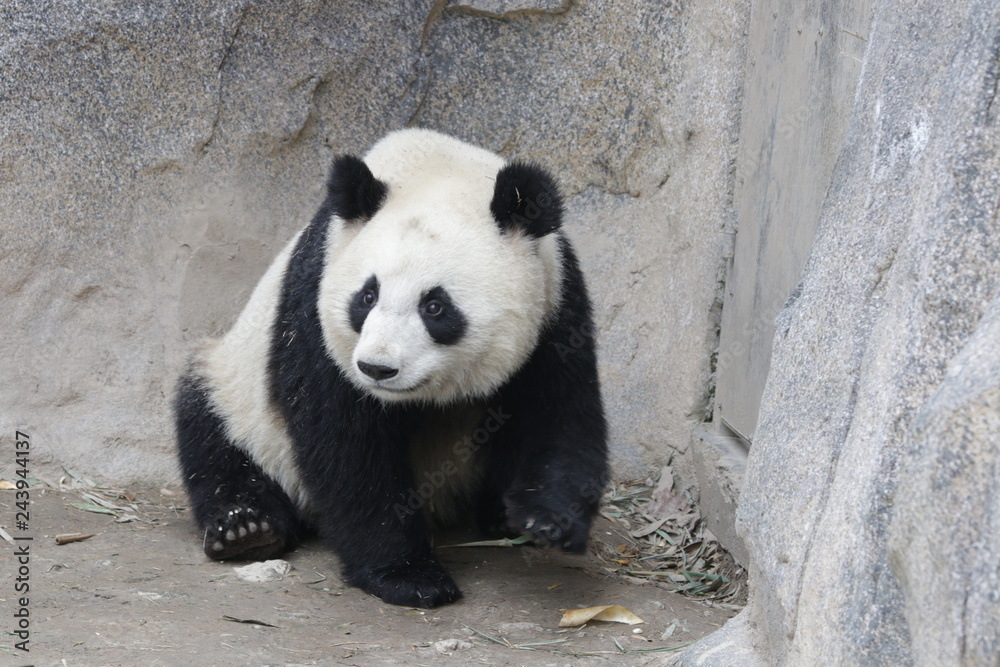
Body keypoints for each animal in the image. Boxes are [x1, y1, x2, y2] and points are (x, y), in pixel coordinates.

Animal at [174, 128, 608, 608]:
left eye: (435, 306)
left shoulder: (556, 300)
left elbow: (559, 410)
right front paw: (407, 574)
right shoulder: (315, 301)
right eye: (366, 297)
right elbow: (344, 442)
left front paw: (549, 520)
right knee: (209, 430)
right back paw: (246, 527)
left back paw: (497, 515)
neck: (436, 169)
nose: (376, 368)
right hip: (238, 388)